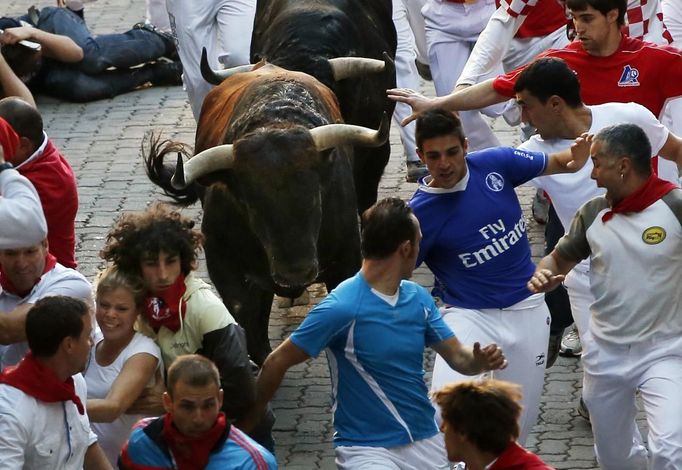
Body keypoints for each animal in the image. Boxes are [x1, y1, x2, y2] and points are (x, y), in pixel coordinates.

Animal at [143, 63, 388, 364]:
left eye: (316, 196)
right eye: (251, 205)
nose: (296, 273)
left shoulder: (346, 261)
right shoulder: (228, 271)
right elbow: (251, 329)